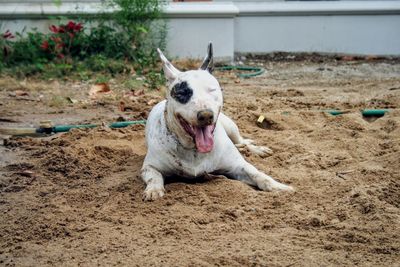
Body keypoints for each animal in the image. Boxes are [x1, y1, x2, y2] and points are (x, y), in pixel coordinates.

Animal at [141, 43, 294, 201]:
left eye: (212, 90)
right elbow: (154, 176)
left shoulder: (239, 167)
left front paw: (277, 186)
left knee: (241, 141)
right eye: (183, 93)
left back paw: (256, 149)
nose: (205, 115)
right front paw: (153, 189)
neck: (194, 150)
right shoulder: (149, 167)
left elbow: (257, 173)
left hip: (231, 127)